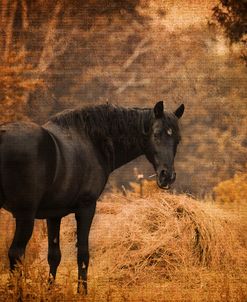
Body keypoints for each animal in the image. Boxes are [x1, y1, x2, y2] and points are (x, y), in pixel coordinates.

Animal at [0, 101, 183, 292]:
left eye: (178, 139)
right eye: (156, 134)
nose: (167, 176)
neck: (92, 141)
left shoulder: (54, 214)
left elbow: (54, 256)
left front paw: (50, 291)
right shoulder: (86, 207)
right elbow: (83, 254)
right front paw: (82, 292)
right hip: (25, 215)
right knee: (16, 253)